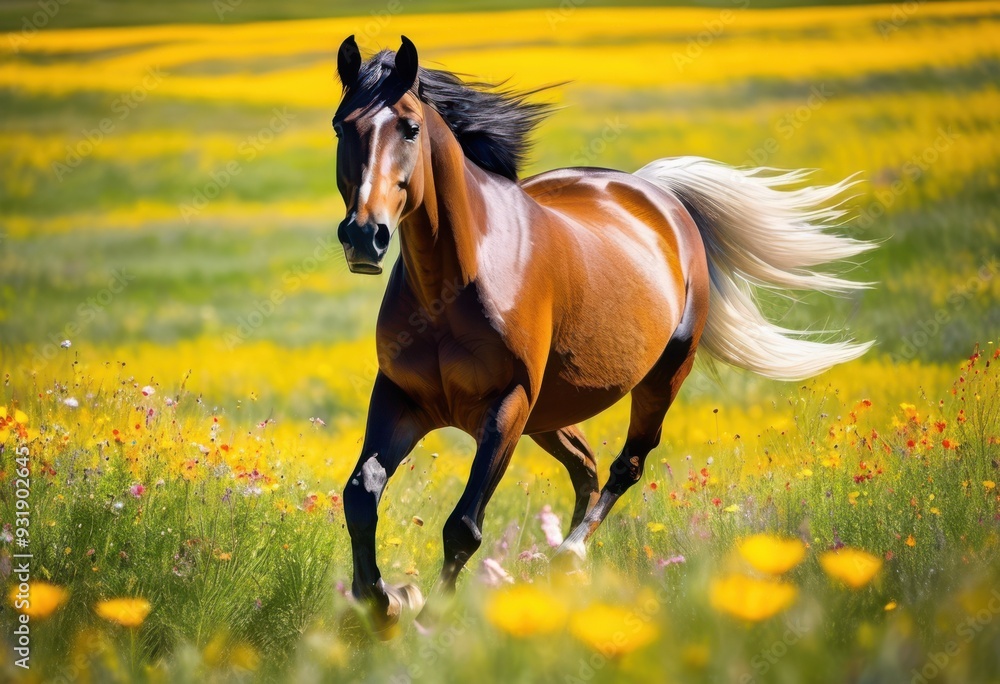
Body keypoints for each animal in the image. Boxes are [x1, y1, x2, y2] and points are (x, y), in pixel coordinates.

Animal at [332, 35, 873, 633]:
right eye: (339, 127)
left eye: (408, 127)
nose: (364, 236)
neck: (455, 283)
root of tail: (657, 193)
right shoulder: (401, 398)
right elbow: (360, 497)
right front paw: (382, 603)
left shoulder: (506, 406)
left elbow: (463, 525)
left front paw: (431, 619)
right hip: (549, 413)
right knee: (586, 468)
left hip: (656, 378)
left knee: (626, 464)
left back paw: (570, 555)